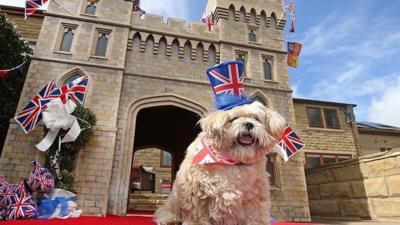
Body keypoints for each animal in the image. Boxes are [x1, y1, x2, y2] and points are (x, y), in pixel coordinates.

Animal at [155, 102, 286, 225]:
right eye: (234, 118)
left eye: (256, 119)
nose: (249, 124)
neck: (234, 161)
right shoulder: (197, 195)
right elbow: (198, 214)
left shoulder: (255, 199)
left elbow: (256, 216)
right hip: (173, 204)